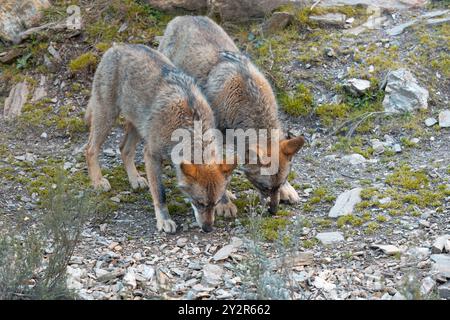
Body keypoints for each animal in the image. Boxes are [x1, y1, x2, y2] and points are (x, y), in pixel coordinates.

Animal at [84, 43, 236, 232]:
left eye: (213, 203)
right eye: (198, 203)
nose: (207, 229)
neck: (190, 126)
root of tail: (116, 46)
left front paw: (226, 201)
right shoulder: (152, 155)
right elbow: (160, 193)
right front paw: (164, 220)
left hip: (138, 127)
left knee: (124, 149)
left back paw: (135, 179)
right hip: (107, 118)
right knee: (90, 149)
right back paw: (98, 181)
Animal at [159, 16, 306, 218]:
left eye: (279, 184)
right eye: (263, 187)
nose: (274, 211)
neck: (245, 97)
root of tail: (182, 17)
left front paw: (287, 191)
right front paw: (224, 203)